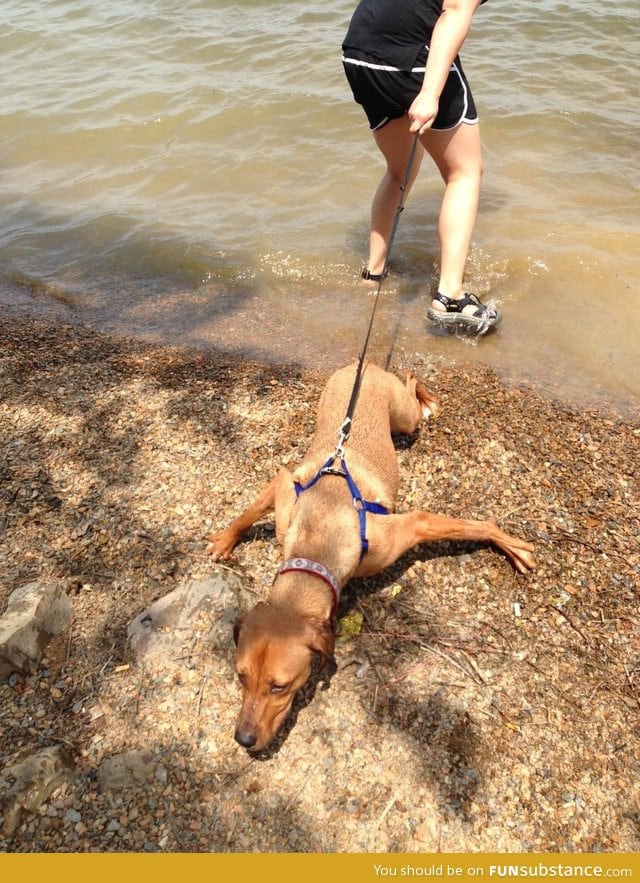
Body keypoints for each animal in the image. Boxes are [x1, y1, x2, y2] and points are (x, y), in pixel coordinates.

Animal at [206, 362, 536, 748]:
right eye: (241, 676)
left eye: (279, 686)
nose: (243, 739)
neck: (318, 541)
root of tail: (363, 365)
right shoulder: (286, 486)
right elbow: (251, 509)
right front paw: (226, 540)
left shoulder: (410, 527)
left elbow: (474, 527)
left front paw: (509, 544)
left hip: (405, 418)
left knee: (411, 385)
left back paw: (426, 398)